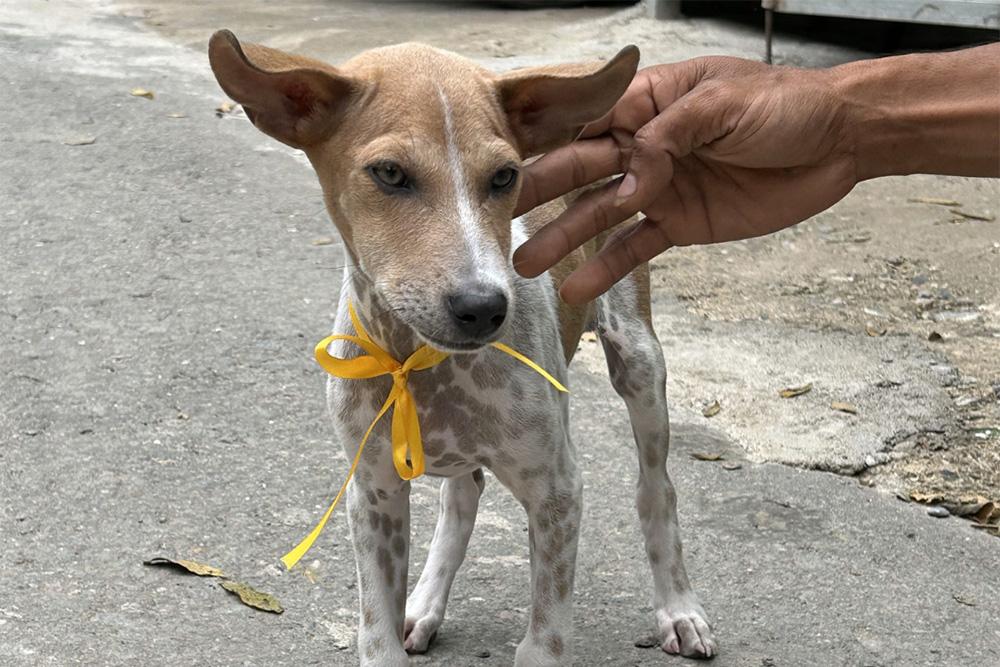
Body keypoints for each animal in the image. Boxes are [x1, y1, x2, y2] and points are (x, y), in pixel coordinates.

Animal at [207, 28, 716, 664]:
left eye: (504, 177)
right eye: (390, 173)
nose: (485, 307)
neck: (420, 362)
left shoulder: (558, 491)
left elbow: (546, 640)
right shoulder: (372, 491)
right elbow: (376, 633)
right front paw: (401, 616)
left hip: (637, 355)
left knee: (657, 489)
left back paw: (679, 608)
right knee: (462, 497)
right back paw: (423, 604)